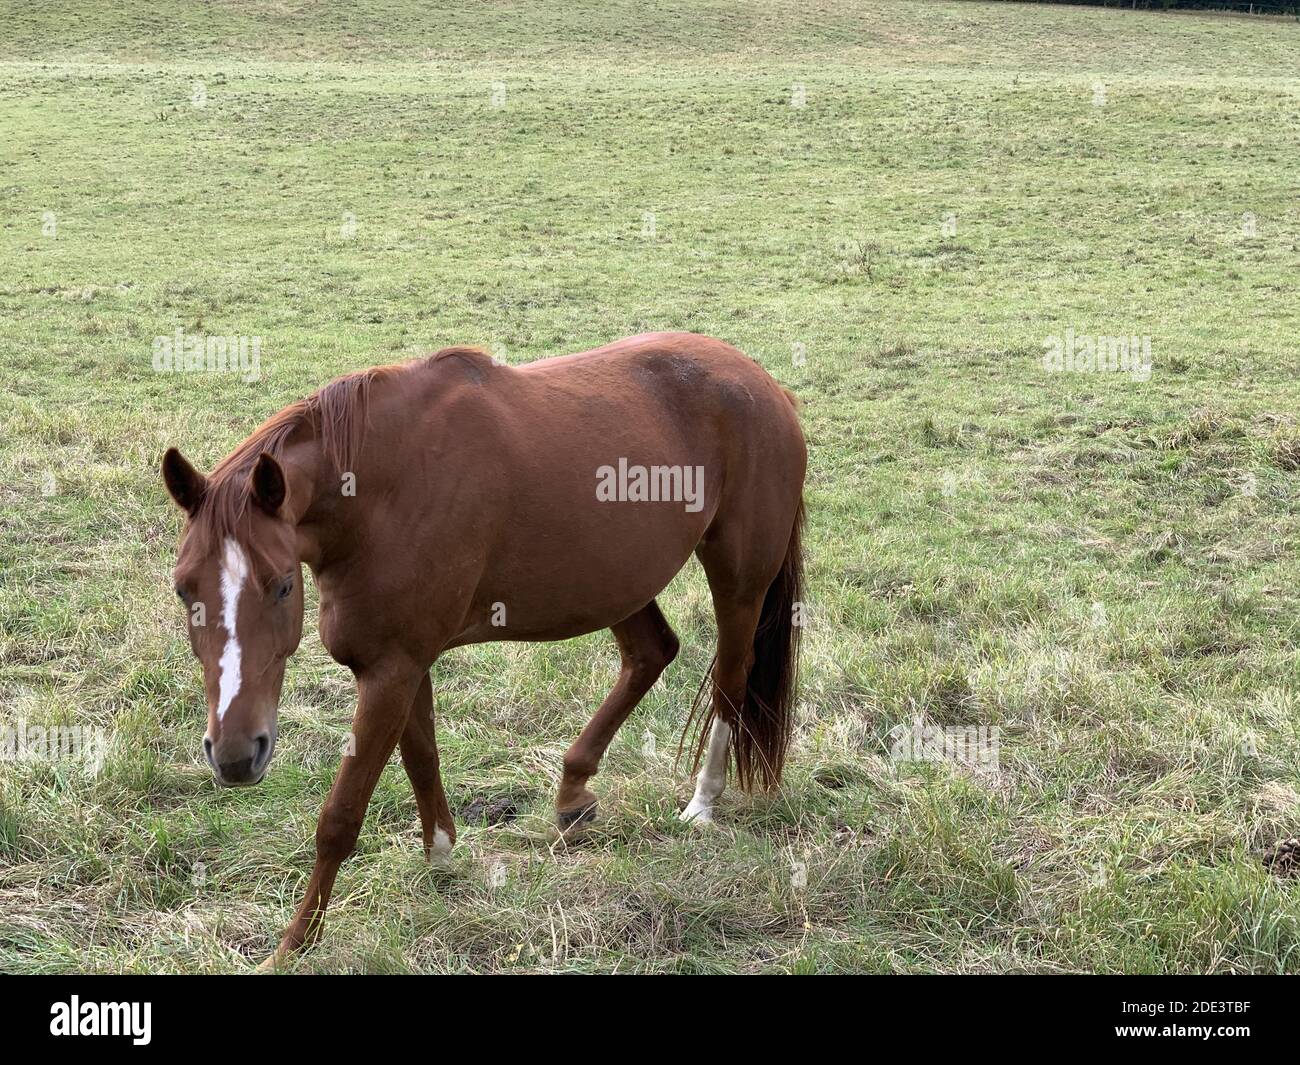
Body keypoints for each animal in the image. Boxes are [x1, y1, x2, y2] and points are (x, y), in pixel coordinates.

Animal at [161, 331, 807, 967]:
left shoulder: (392, 668)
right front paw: (441, 859)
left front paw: (294, 943)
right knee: (652, 654)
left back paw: (702, 803)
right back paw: (572, 793)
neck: (381, 489)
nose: (235, 756)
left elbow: (341, 815)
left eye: (281, 585)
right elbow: (421, 758)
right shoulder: (399, 662)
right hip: (617, 581)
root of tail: (766, 386)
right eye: (183, 588)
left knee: (730, 678)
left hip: (737, 580)